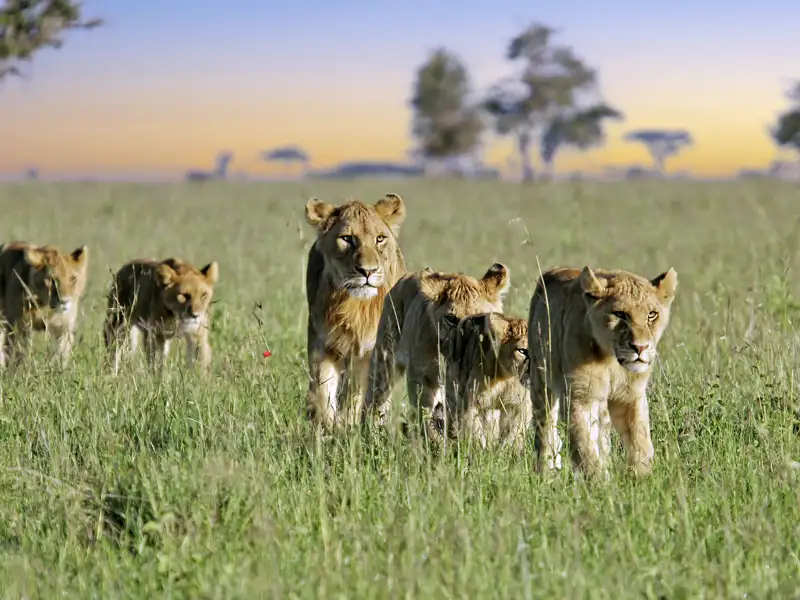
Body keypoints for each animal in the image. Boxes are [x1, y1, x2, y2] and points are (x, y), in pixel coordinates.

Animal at [0, 241, 89, 369]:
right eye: (51, 280)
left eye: (72, 278)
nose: (64, 301)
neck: (46, 306)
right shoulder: (19, 326)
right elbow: (19, 353)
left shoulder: (65, 327)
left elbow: (61, 352)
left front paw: (57, 369)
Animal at [304, 193, 407, 429]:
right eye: (347, 239)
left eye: (380, 239)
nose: (367, 271)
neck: (355, 306)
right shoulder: (323, 346)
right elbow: (323, 392)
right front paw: (331, 426)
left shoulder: (373, 352)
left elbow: (358, 393)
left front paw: (352, 423)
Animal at [363, 263, 511, 438]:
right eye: (451, 319)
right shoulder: (421, 376)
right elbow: (425, 413)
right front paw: (435, 440)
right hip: (384, 360)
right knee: (375, 400)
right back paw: (370, 433)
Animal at [442, 312, 531, 450]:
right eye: (522, 351)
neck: (505, 376)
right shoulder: (470, 404)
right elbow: (476, 436)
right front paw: (482, 453)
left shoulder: (519, 405)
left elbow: (512, 435)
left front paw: (503, 452)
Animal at [527, 265, 678, 478]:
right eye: (620, 314)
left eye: (652, 315)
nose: (640, 347)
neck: (611, 360)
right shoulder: (580, 397)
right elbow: (585, 448)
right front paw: (599, 483)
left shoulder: (631, 396)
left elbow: (640, 441)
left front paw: (643, 478)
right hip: (540, 380)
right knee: (545, 428)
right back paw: (546, 472)